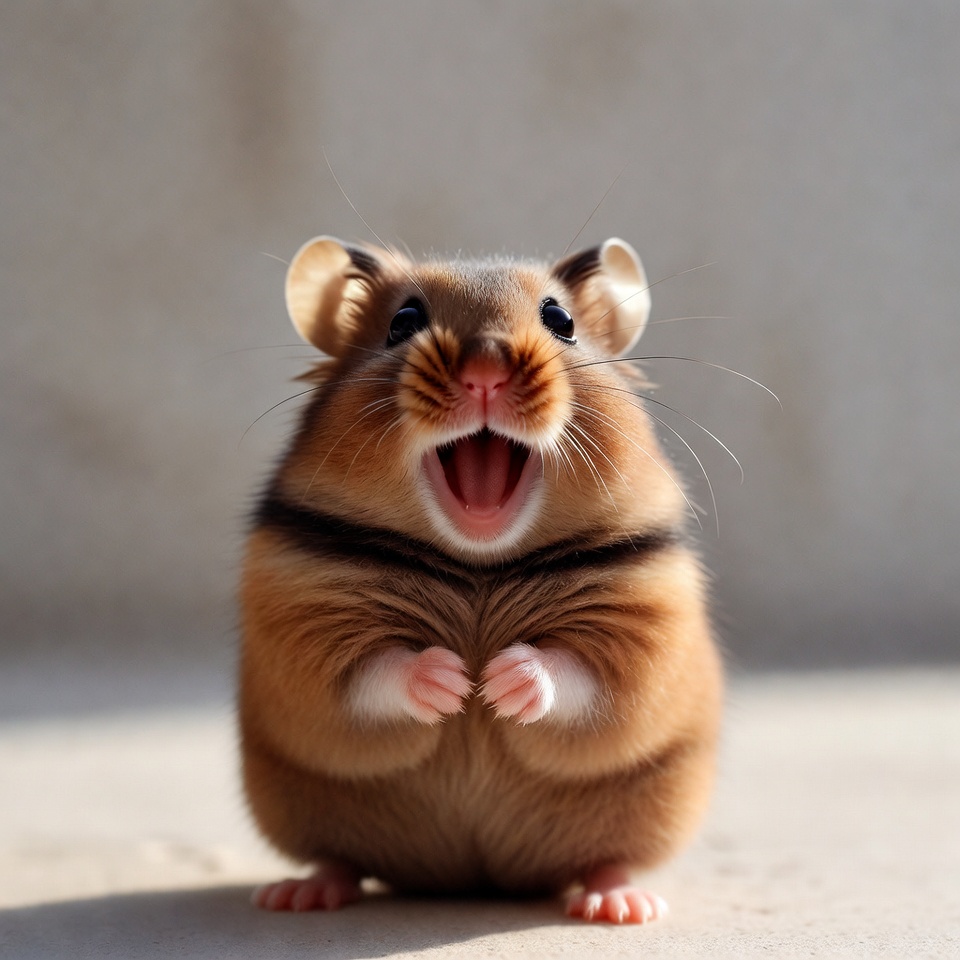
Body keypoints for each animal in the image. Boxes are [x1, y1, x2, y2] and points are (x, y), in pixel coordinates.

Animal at [238, 235, 723, 924]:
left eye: (560, 320)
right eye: (403, 321)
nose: (485, 373)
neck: (480, 567)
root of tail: (476, 878)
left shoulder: (642, 632)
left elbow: (578, 674)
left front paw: (497, 680)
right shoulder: (304, 633)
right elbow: (375, 672)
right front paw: (454, 681)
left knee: (608, 860)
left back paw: (622, 905)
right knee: (339, 859)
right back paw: (297, 895)